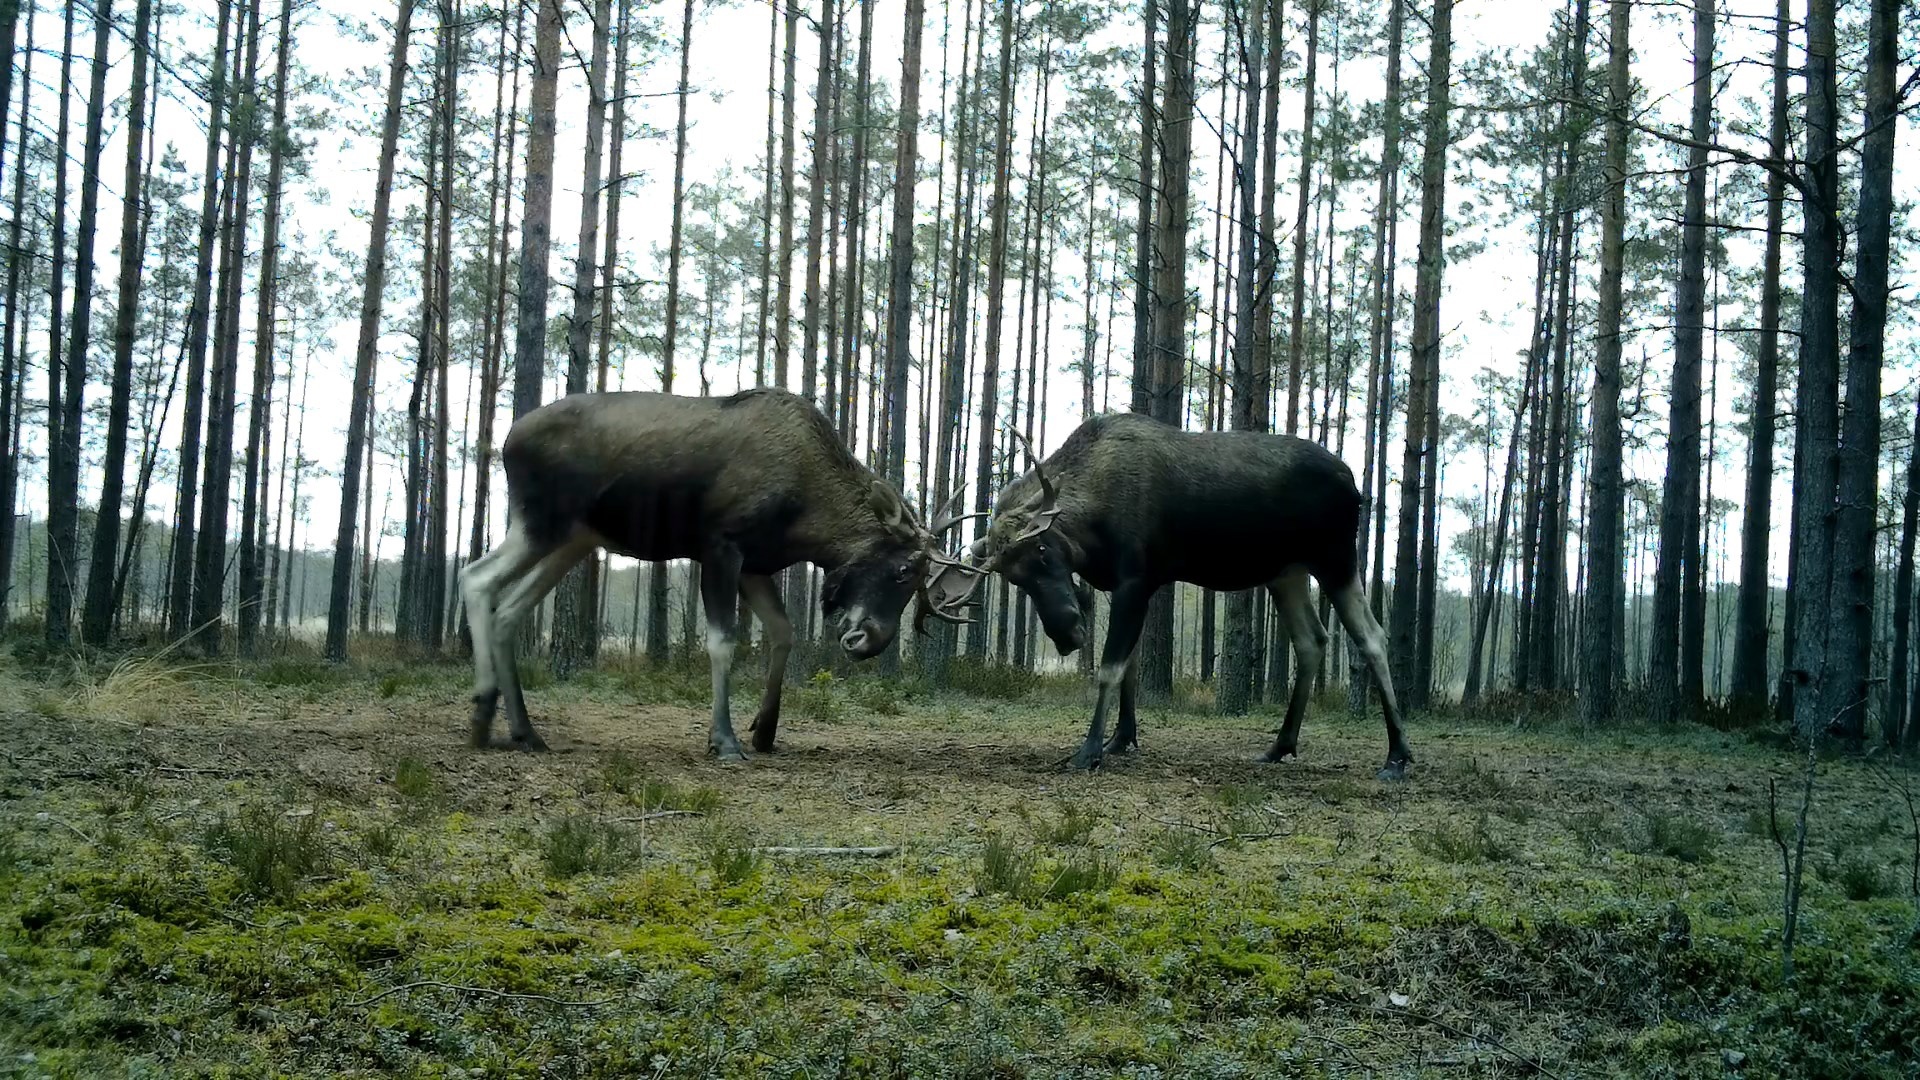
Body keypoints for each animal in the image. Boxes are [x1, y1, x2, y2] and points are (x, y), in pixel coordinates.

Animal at [458, 386, 967, 757]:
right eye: (903, 569)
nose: (869, 641)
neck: (808, 518)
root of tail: (506, 440)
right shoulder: (720, 546)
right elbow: (723, 642)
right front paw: (723, 738)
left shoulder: (755, 565)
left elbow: (782, 633)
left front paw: (764, 730)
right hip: (541, 522)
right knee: (476, 577)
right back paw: (483, 710)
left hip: (574, 540)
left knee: (509, 610)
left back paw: (522, 730)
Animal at [929, 409, 1413, 772]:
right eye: (1016, 579)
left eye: (1045, 550)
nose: (1068, 635)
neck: (1092, 528)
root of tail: (1355, 485)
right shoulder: (1129, 586)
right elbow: (1131, 667)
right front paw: (1121, 738)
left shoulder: (1136, 579)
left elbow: (1110, 667)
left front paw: (1089, 749)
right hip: (1286, 572)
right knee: (1313, 640)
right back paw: (1281, 745)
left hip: (1336, 558)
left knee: (1372, 637)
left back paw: (1396, 754)